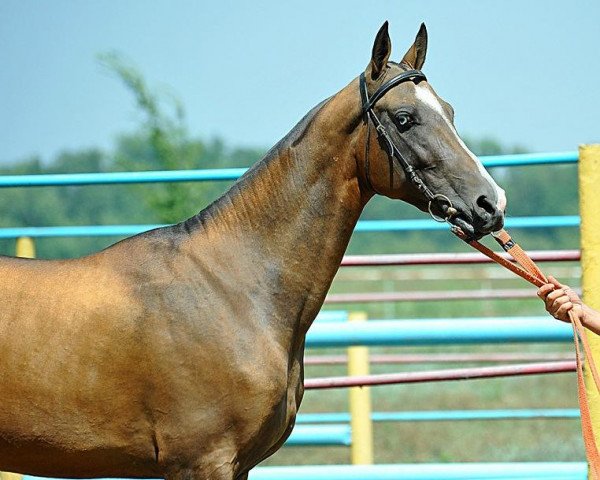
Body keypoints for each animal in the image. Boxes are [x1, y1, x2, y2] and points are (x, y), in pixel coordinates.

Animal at [0, 22, 506, 480]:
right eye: (404, 118)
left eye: (450, 111)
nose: (491, 203)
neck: (234, 291)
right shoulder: (202, 463)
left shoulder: (238, 465)